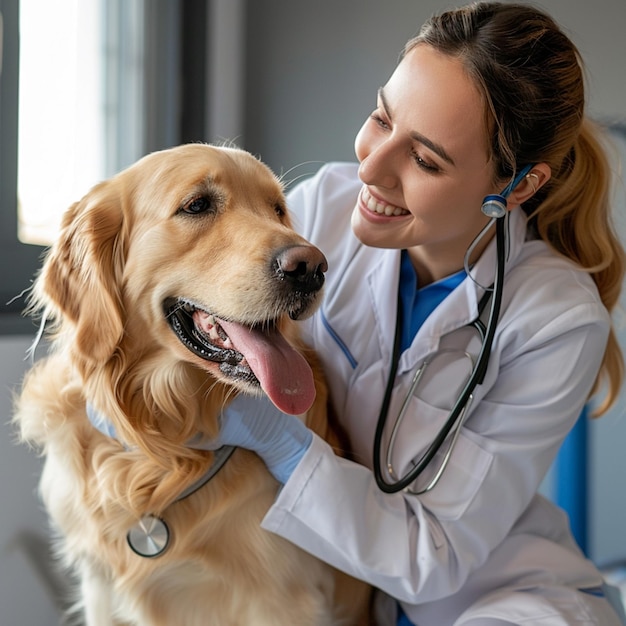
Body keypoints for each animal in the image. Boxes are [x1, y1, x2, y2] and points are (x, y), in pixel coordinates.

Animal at [13, 144, 370, 620]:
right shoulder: (100, 591)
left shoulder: (282, 601)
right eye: (197, 205)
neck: (167, 442)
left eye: (278, 209)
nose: (312, 268)